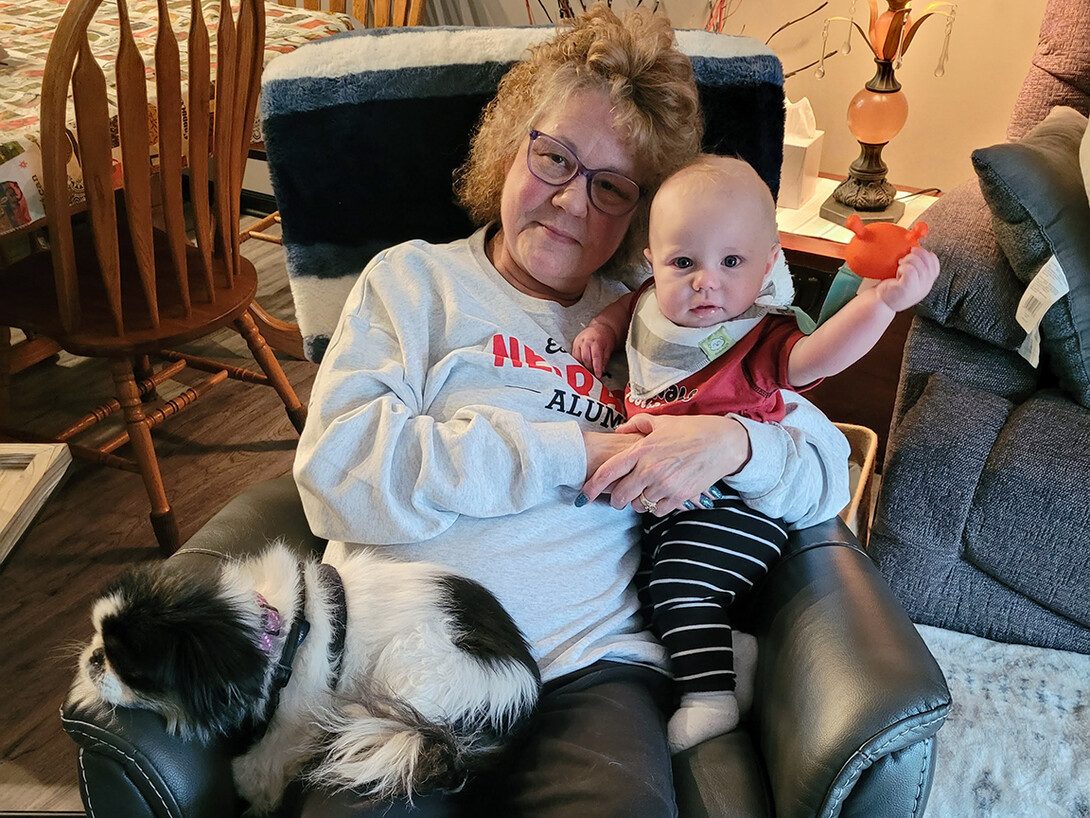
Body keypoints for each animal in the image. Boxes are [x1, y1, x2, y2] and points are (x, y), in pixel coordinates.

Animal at [69, 540, 540, 815]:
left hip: (413, 659)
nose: (93, 659)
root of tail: (522, 696)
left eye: (131, 671)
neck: (276, 629)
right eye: (95, 634)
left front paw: (250, 786)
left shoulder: (298, 717)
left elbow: (263, 764)